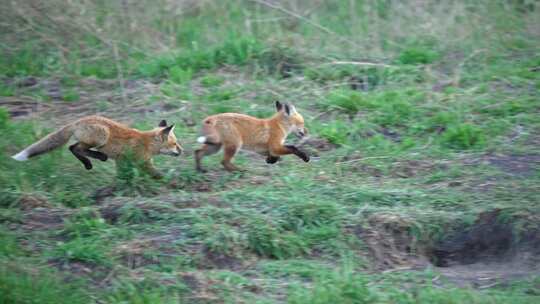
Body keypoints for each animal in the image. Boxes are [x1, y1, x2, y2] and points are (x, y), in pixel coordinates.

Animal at [11, 116, 185, 178]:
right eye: (175, 144)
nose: (183, 151)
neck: (146, 142)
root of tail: (77, 121)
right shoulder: (142, 163)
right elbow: (158, 174)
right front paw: (172, 183)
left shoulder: (122, 161)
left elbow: (123, 175)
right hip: (102, 135)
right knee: (75, 148)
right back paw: (95, 160)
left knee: (73, 147)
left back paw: (90, 162)